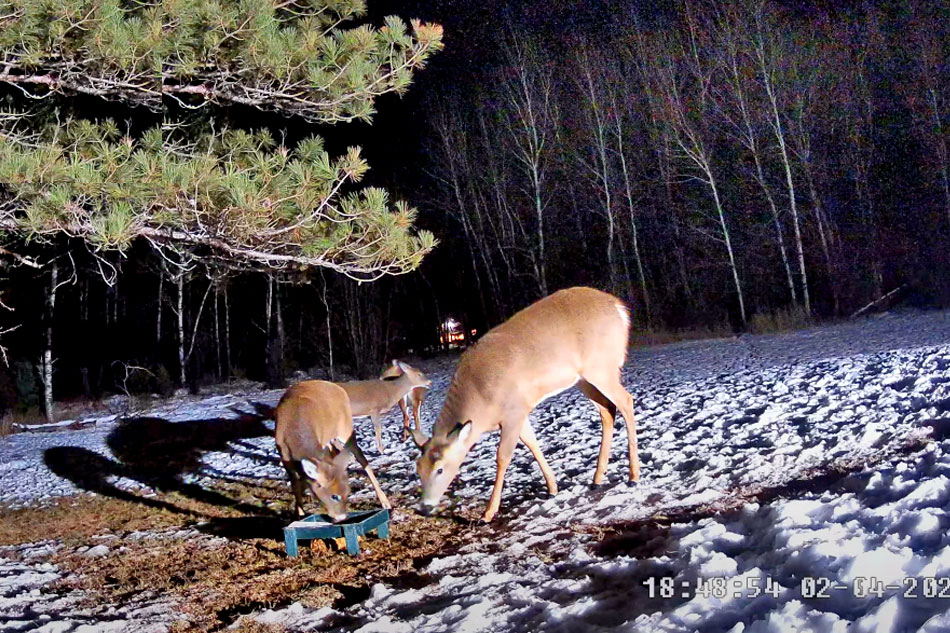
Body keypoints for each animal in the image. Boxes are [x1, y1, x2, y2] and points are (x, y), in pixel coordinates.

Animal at [276, 380, 394, 520]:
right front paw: (299, 514)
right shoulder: (284, 456)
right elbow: (296, 486)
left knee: (360, 456)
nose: (342, 517)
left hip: (346, 428)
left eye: (348, 492)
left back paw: (385, 502)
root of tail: (334, 385)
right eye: (334, 496)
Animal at [410, 288, 640, 524]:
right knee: (607, 410)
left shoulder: (513, 410)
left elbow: (502, 457)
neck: (480, 400)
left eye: (440, 469)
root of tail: (619, 308)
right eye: (418, 468)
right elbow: (532, 444)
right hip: (584, 379)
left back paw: (633, 476)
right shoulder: (519, 411)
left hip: (601, 367)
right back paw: (597, 479)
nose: (424, 508)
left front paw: (488, 513)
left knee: (626, 401)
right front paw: (552, 488)